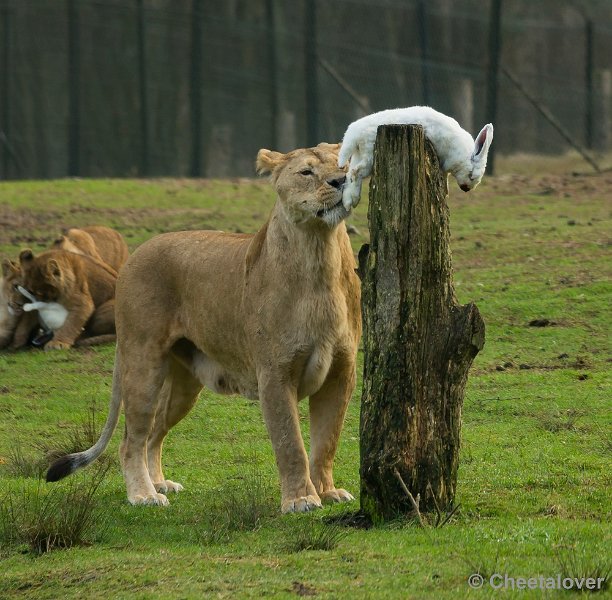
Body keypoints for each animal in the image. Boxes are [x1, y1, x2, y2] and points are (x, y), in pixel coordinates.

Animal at [338, 106, 494, 210]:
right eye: (471, 175)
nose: (466, 189)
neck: (461, 154)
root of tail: (354, 134)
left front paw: (446, 191)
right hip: (369, 156)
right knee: (356, 172)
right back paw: (354, 200)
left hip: (359, 155)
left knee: (349, 173)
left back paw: (348, 202)